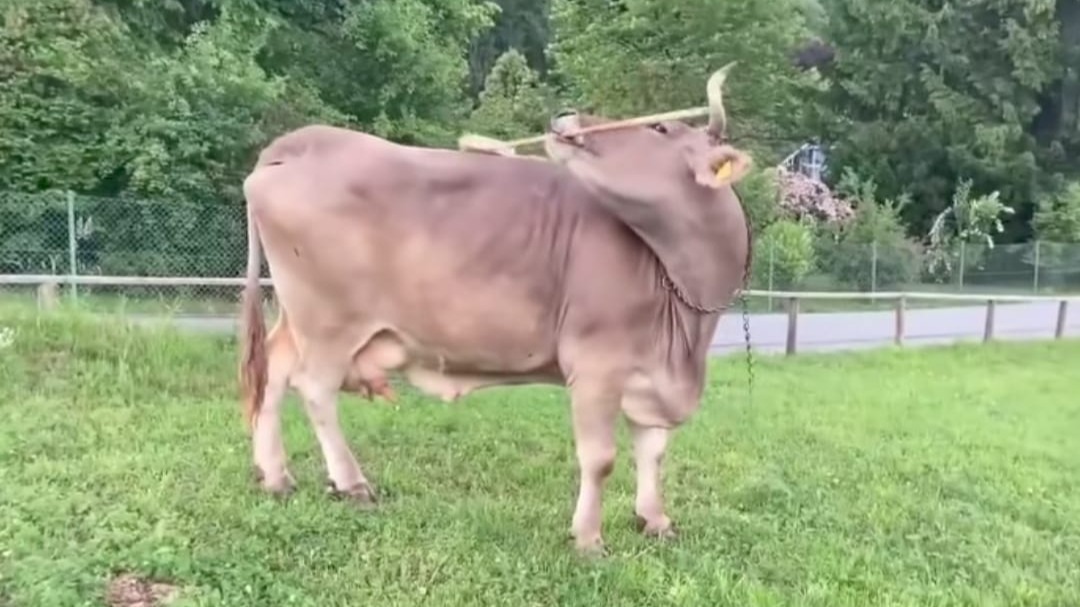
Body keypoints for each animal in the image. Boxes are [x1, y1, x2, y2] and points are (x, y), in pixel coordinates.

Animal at [237, 65, 753, 555]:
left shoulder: (653, 377)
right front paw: (588, 539)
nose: (565, 116)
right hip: (328, 321)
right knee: (314, 388)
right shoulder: (596, 365)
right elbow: (601, 458)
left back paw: (275, 476)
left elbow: (653, 450)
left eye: (661, 128)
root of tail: (304, 141)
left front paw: (655, 520)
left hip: (298, 317)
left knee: (275, 371)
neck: (685, 320)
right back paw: (352, 483)